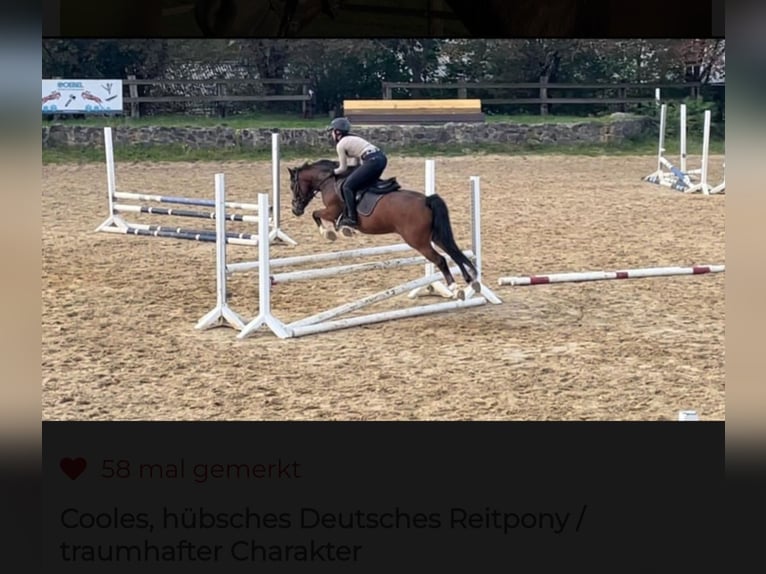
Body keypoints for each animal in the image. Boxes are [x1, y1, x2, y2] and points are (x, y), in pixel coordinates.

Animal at [288, 161, 480, 300]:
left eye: (292, 186)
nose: (295, 210)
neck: (328, 180)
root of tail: (426, 200)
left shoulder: (331, 211)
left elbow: (315, 214)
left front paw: (328, 233)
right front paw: (342, 230)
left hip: (418, 242)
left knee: (441, 259)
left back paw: (454, 288)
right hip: (435, 236)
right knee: (453, 252)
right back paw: (470, 281)